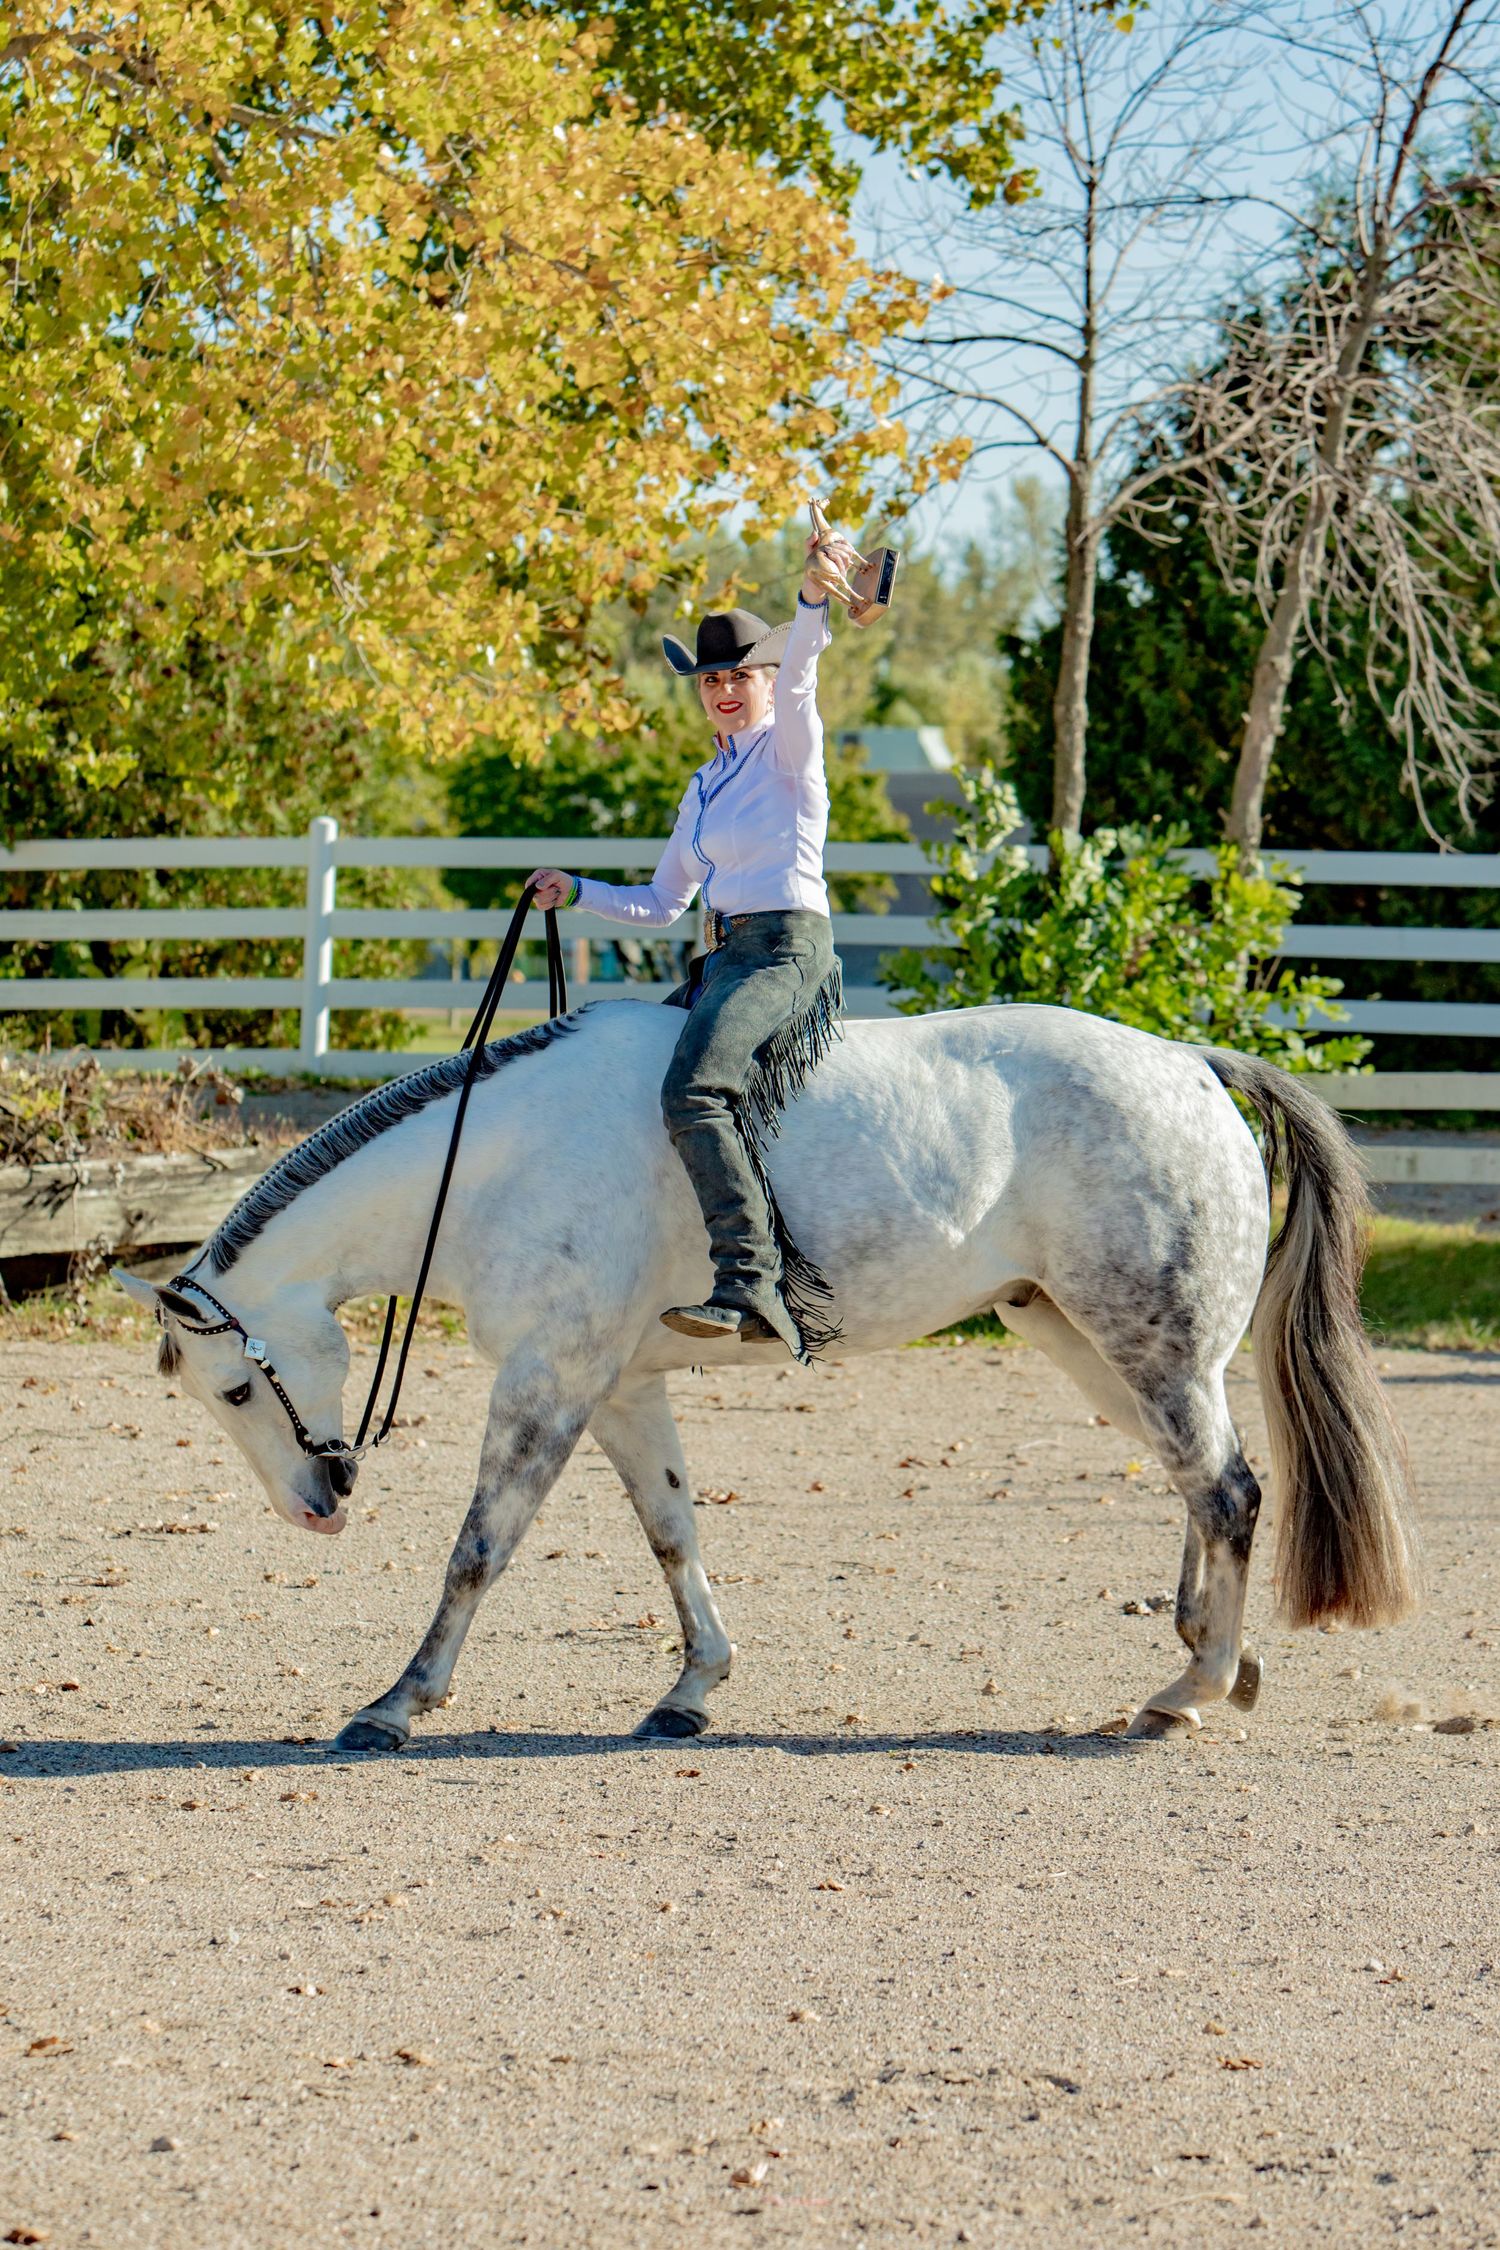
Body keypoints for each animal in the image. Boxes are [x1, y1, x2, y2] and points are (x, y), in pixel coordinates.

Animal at [114, 999, 1417, 1753]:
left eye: (236, 1390)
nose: (317, 1505)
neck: (496, 1160)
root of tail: (1192, 1063)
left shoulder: (551, 1379)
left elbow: (480, 1546)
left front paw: (397, 1703)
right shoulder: (620, 1386)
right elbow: (673, 1533)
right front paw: (692, 1689)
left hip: (1146, 1342)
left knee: (1232, 1492)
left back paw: (1190, 1690)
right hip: (1092, 1344)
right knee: (1201, 1486)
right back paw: (1213, 1660)